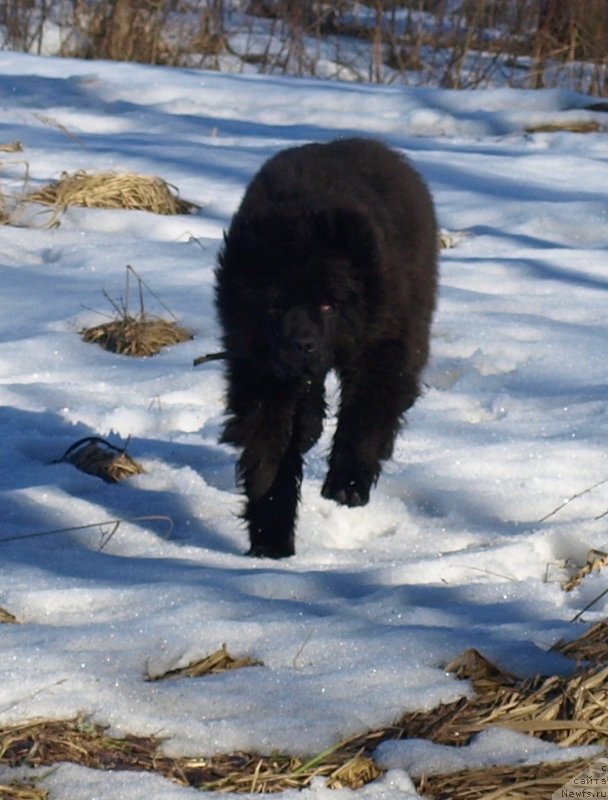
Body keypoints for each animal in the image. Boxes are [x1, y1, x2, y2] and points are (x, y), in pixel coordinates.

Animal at [214, 138, 436, 560]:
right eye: (275, 305)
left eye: (329, 305)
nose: (304, 344)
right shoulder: (258, 365)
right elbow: (269, 448)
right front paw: (271, 537)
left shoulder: (381, 348)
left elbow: (364, 416)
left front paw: (347, 485)